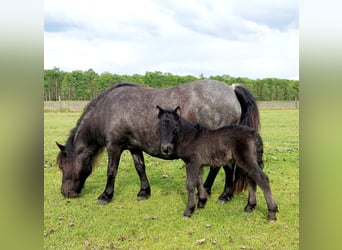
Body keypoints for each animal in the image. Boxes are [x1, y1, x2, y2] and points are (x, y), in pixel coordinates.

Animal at [56, 79, 260, 205]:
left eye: (63, 166)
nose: (65, 193)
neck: (109, 110)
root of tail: (231, 90)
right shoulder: (134, 146)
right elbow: (140, 168)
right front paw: (144, 192)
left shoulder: (114, 147)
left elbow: (111, 171)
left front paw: (106, 196)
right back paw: (207, 190)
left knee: (227, 167)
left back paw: (225, 195)